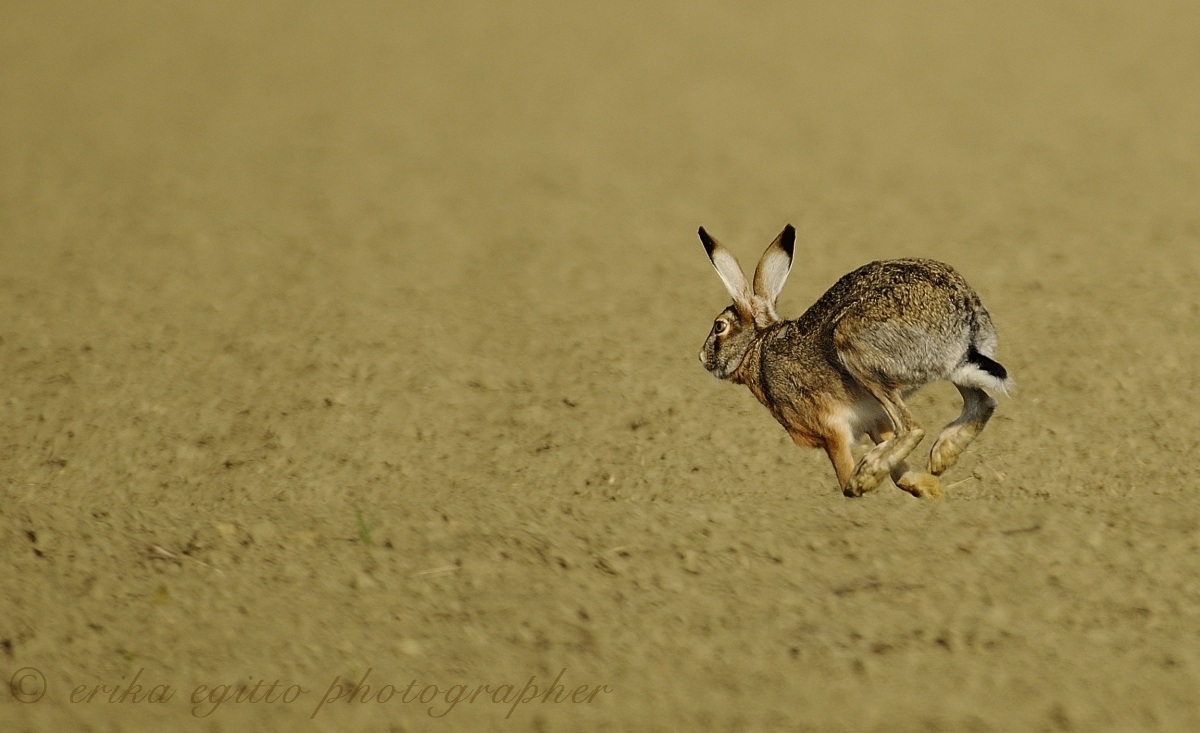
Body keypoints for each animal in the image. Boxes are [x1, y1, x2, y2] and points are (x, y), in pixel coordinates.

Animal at [697, 224, 1010, 498]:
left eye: (719, 327)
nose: (702, 358)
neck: (756, 348)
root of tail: (964, 314)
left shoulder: (831, 430)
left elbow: (845, 474)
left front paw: (860, 484)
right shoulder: (873, 420)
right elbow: (900, 470)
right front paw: (931, 491)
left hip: (854, 350)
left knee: (913, 428)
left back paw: (867, 474)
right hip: (952, 367)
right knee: (982, 402)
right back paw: (941, 457)